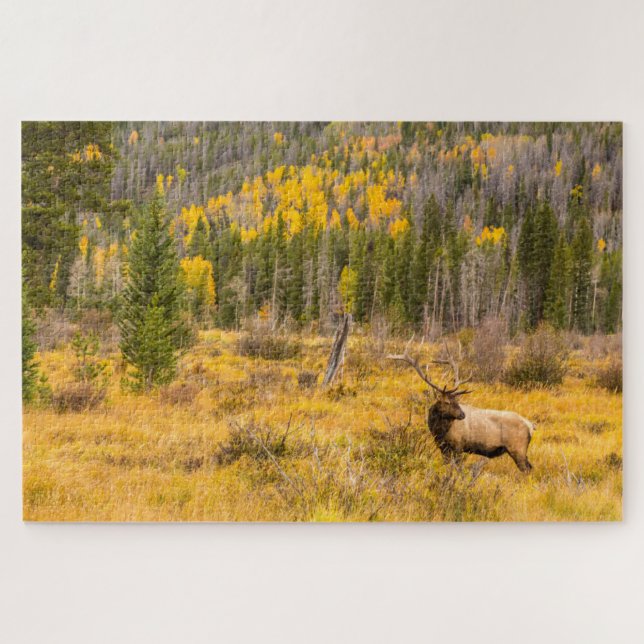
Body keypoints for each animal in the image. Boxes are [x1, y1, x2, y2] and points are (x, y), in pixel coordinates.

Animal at [387, 341, 536, 472]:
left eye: (456, 401)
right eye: (447, 402)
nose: (462, 414)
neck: (439, 431)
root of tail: (530, 425)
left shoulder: (458, 445)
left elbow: (457, 467)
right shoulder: (442, 447)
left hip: (518, 448)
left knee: (527, 469)